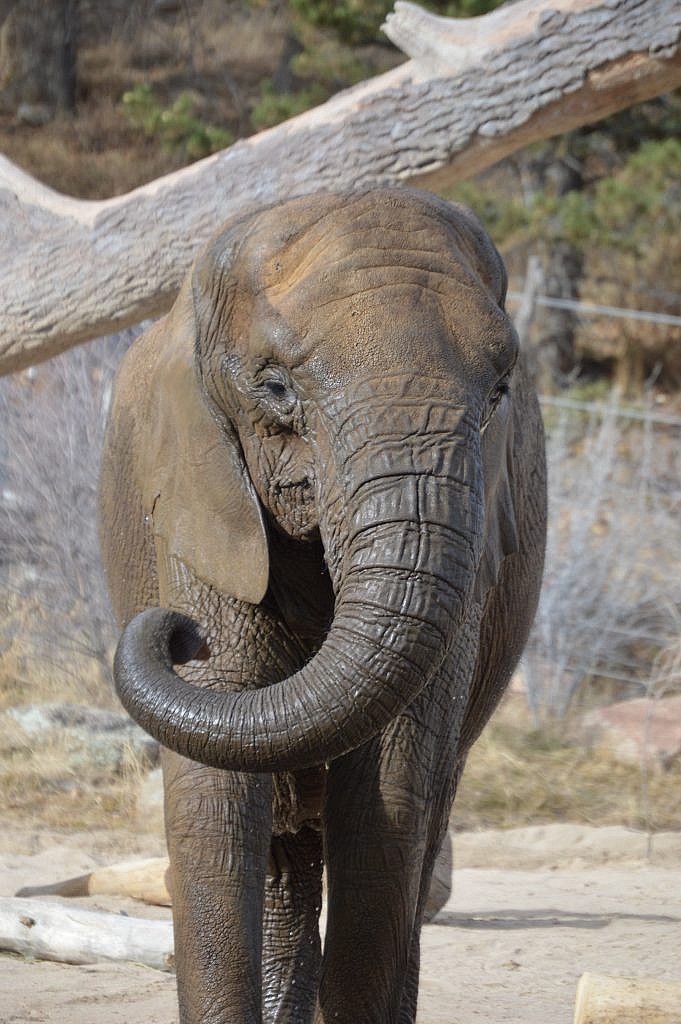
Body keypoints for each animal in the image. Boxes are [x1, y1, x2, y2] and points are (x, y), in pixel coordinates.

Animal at [100, 186, 548, 1024]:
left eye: (499, 391)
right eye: (275, 388)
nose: (174, 634)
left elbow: (390, 792)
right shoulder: (190, 490)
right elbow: (212, 787)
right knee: (281, 854)